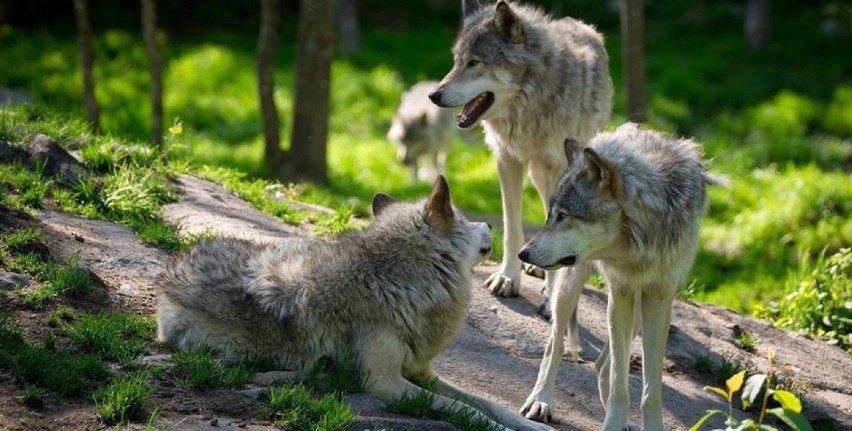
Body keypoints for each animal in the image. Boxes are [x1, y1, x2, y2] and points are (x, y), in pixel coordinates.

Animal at [155, 176, 552, 431]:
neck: (395, 282)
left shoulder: (423, 372)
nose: (490, 225)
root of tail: (171, 266)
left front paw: (534, 426)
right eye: (466, 220)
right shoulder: (386, 383)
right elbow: (463, 410)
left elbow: (488, 403)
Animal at [432, 0, 612, 320]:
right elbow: (512, 227)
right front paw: (507, 277)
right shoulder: (507, 161)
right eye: (456, 61)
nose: (434, 95)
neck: (528, 108)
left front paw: (550, 298)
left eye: (474, 62)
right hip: (537, 174)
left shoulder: (557, 169)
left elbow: (556, 224)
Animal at [516, 123, 724, 430]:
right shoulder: (620, 292)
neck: (638, 241)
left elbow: (650, 388)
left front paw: (648, 425)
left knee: (602, 364)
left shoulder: (659, 300)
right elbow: (619, 383)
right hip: (572, 286)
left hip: (638, 311)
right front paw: (612, 422)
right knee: (556, 344)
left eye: (564, 216)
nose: (522, 253)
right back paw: (540, 400)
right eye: (551, 216)